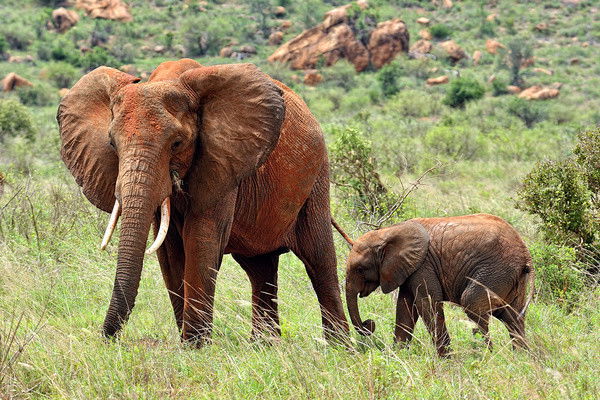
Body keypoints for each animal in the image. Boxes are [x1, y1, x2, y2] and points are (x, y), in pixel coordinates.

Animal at [57, 58, 346, 344]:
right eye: (112, 144)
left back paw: (338, 346)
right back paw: (265, 346)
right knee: (260, 268)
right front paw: (189, 342)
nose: (107, 338)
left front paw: (196, 345)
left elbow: (201, 237)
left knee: (319, 259)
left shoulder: (221, 161)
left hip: (317, 178)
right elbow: (169, 252)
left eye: (176, 143)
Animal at [338, 214, 536, 354]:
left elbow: (427, 304)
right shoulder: (409, 269)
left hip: (495, 270)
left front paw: (446, 359)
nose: (369, 324)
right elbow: (405, 307)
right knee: (512, 316)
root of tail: (525, 254)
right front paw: (397, 355)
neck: (387, 232)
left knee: (473, 304)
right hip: (510, 278)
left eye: (360, 269)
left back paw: (486, 355)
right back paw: (521, 357)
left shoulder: (423, 265)